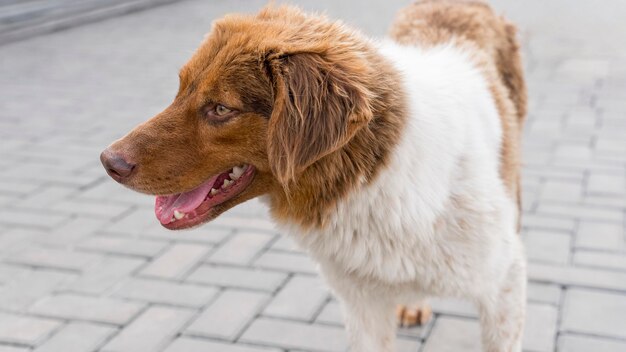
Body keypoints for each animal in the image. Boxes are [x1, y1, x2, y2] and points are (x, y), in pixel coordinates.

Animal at [101, 1, 528, 350]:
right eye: (181, 89)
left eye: (221, 109)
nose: (108, 162)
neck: (373, 177)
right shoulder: (361, 303)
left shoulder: (505, 285)